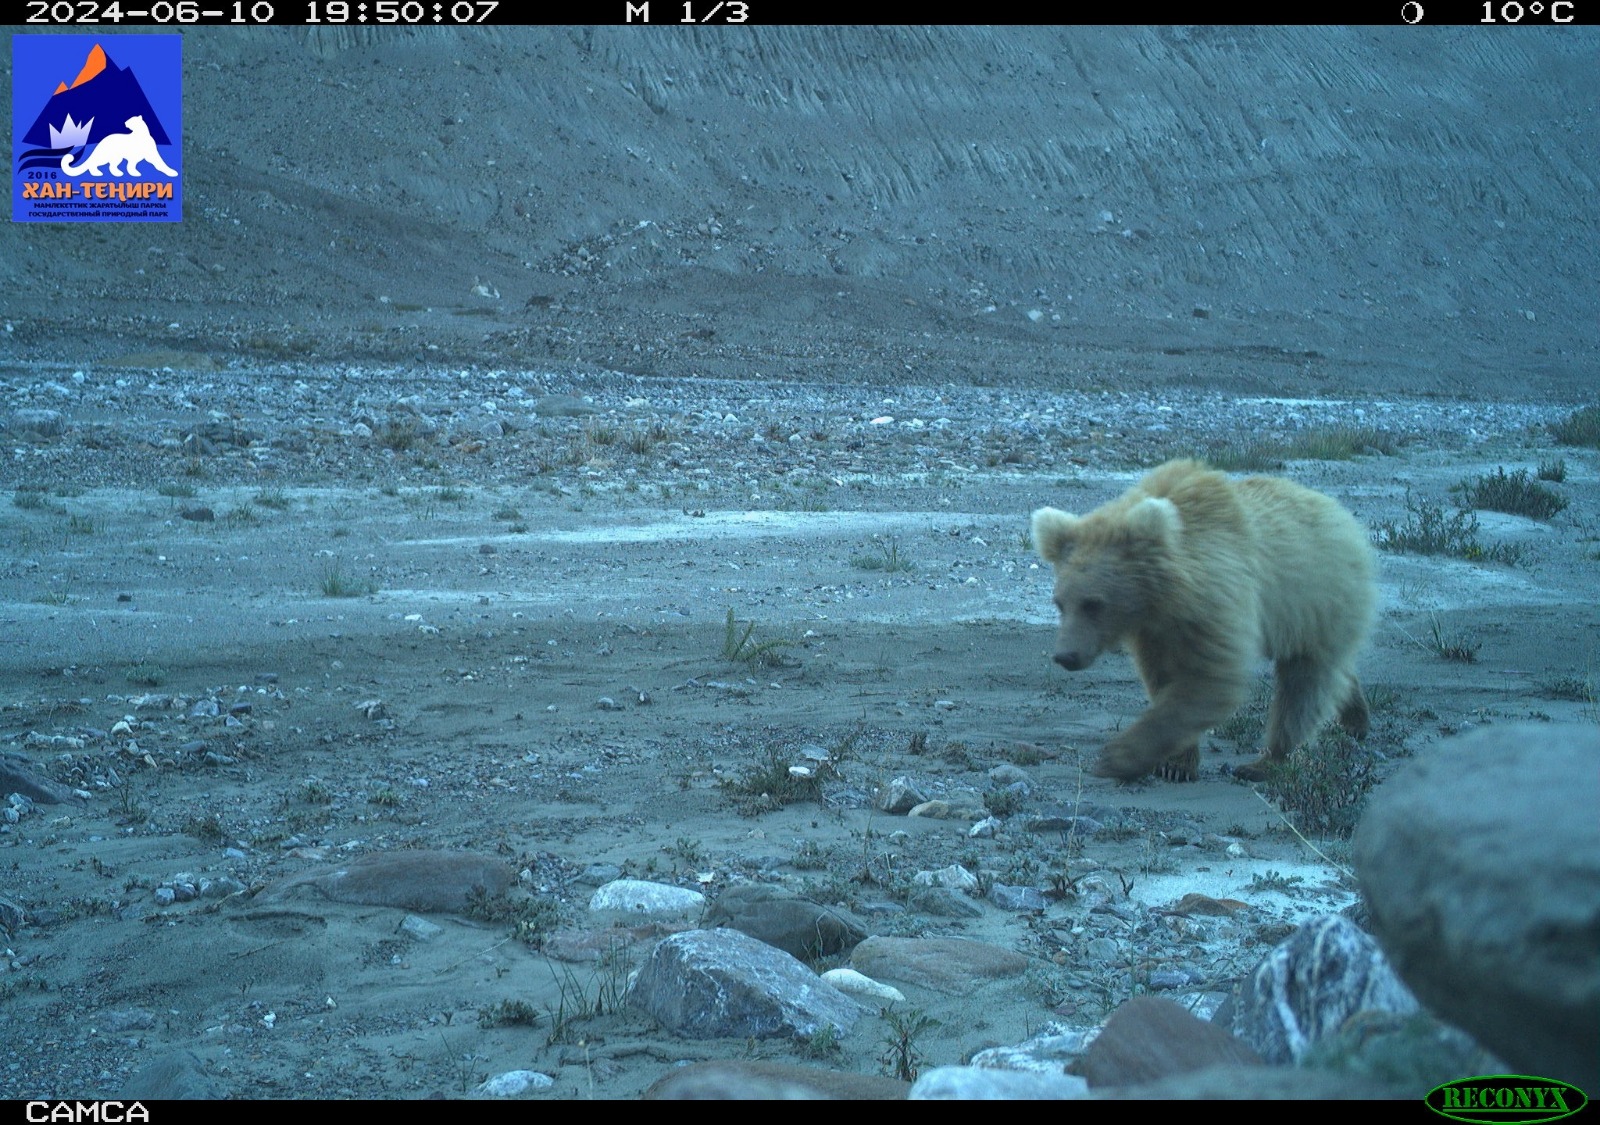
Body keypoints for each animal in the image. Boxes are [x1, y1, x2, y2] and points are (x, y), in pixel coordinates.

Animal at [1031, 459, 1376, 782]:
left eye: (1093, 604)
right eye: (1060, 603)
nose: (1065, 656)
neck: (1164, 598)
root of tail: (1337, 510)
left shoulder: (1216, 604)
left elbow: (1210, 682)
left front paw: (1118, 758)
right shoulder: (1155, 632)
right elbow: (1163, 679)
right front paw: (1175, 763)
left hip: (1317, 600)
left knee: (1303, 684)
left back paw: (1267, 760)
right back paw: (1354, 716)